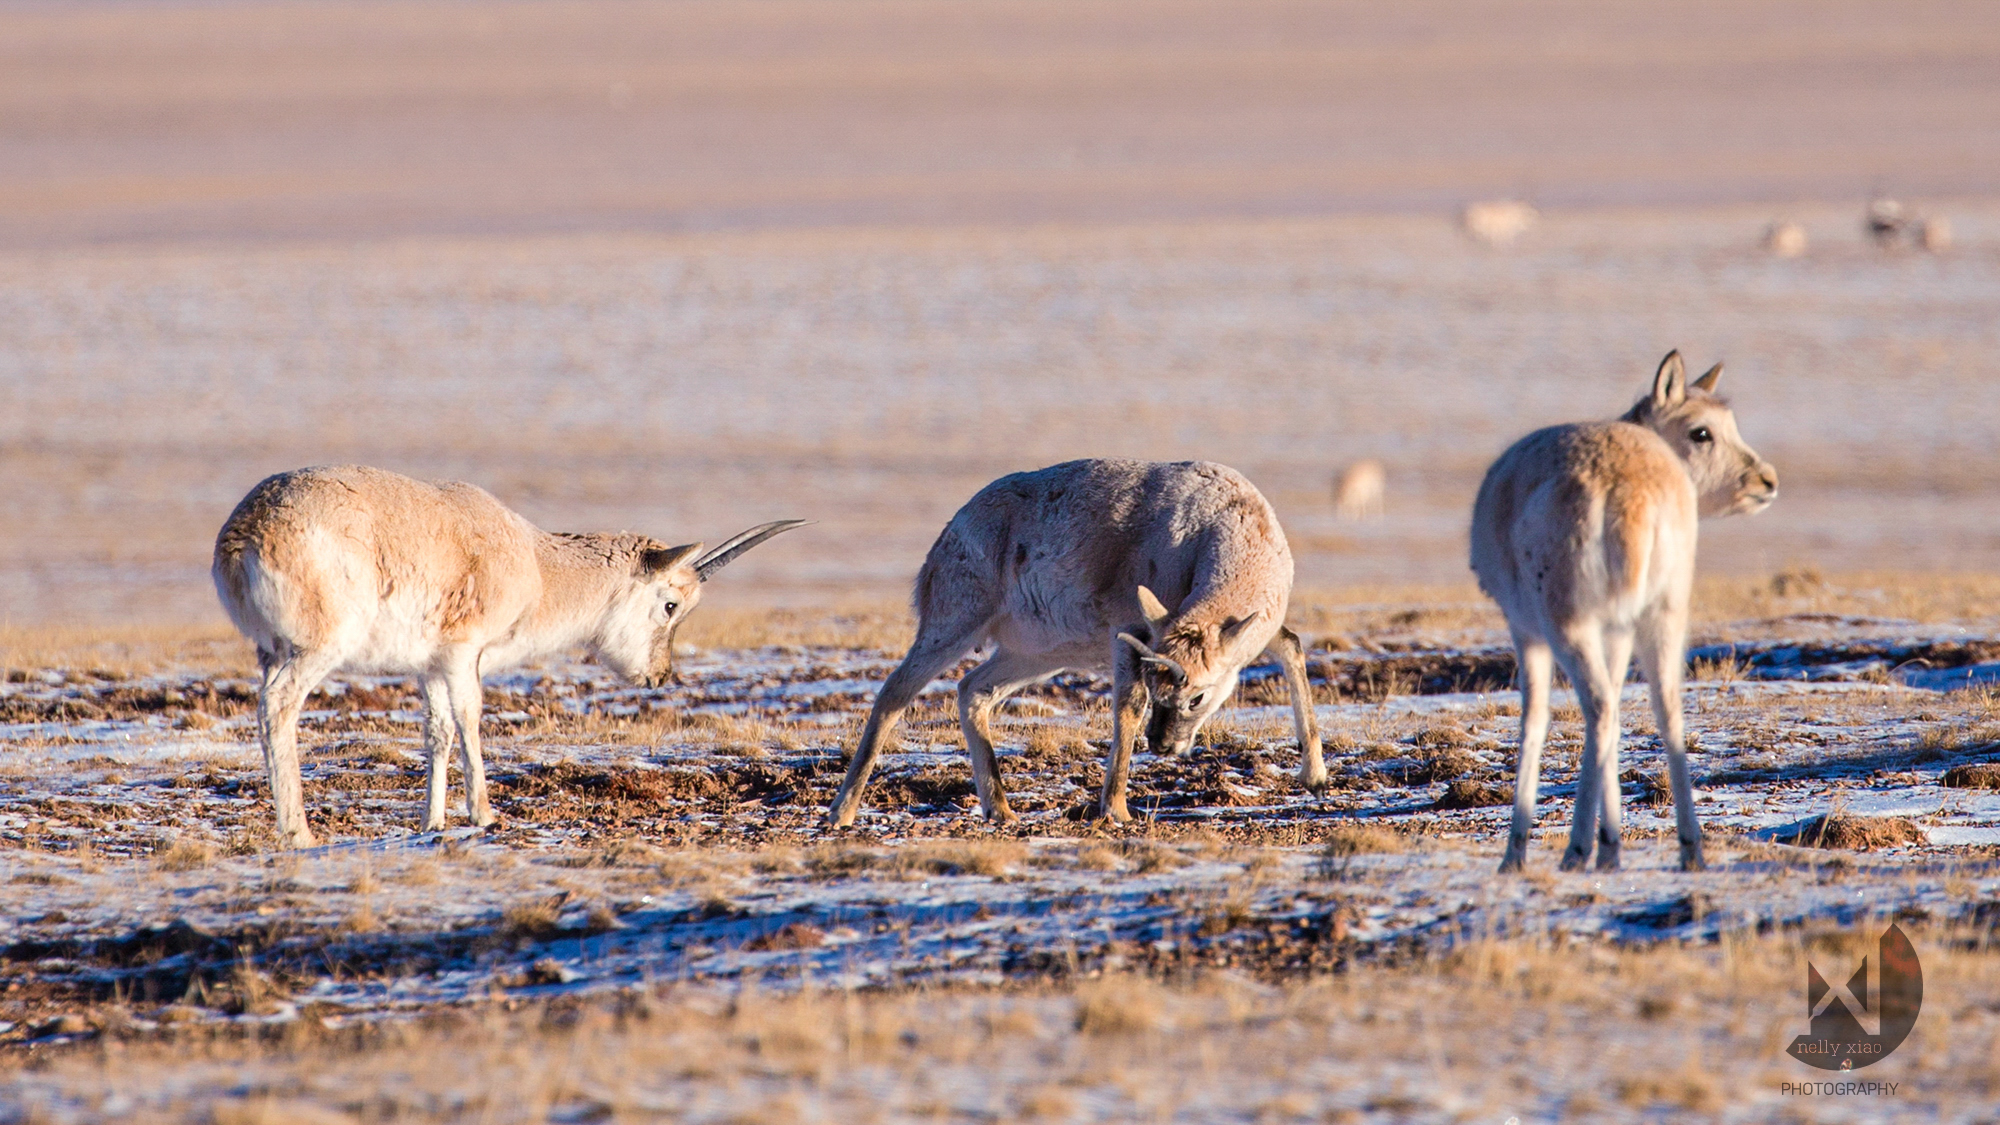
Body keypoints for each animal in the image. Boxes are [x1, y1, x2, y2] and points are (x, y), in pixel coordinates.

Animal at [215, 462, 808, 840]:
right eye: (670, 605)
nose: (659, 677)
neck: (537, 561)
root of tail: (246, 533)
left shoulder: (429, 666)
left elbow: (438, 731)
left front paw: (432, 823)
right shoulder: (463, 652)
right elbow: (471, 717)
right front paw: (484, 815)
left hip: (270, 651)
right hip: (315, 649)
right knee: (278, 707)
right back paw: (298, 833)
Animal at [828, 456, 1328, 824]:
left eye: (1197, 697)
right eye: (1160, 687)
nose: (1162, 746)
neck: (1223, 525)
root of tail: (950, 531)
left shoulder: (1249, 633)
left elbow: (1291, 645)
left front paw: (1315, 775)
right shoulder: (1130, 634)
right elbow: (1127, 708)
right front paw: (1117, 810)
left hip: (1036, 654)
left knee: (972, 690)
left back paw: (1001, 810)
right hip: (953, 627)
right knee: (895, 693)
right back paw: (842, 812)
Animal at [1472, 354, 1784, 872]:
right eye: (1702, 431)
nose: (1767, 481)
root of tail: (1627, 486)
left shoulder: (1526, 631)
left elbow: (1534, 721)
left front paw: (1515, 854)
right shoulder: (1615, 633)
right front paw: (1611, 846)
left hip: (1569, 625)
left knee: (1598, 708)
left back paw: (1576, 850)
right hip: (1660, 617)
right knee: (1664, 708)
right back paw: (1687, 849)